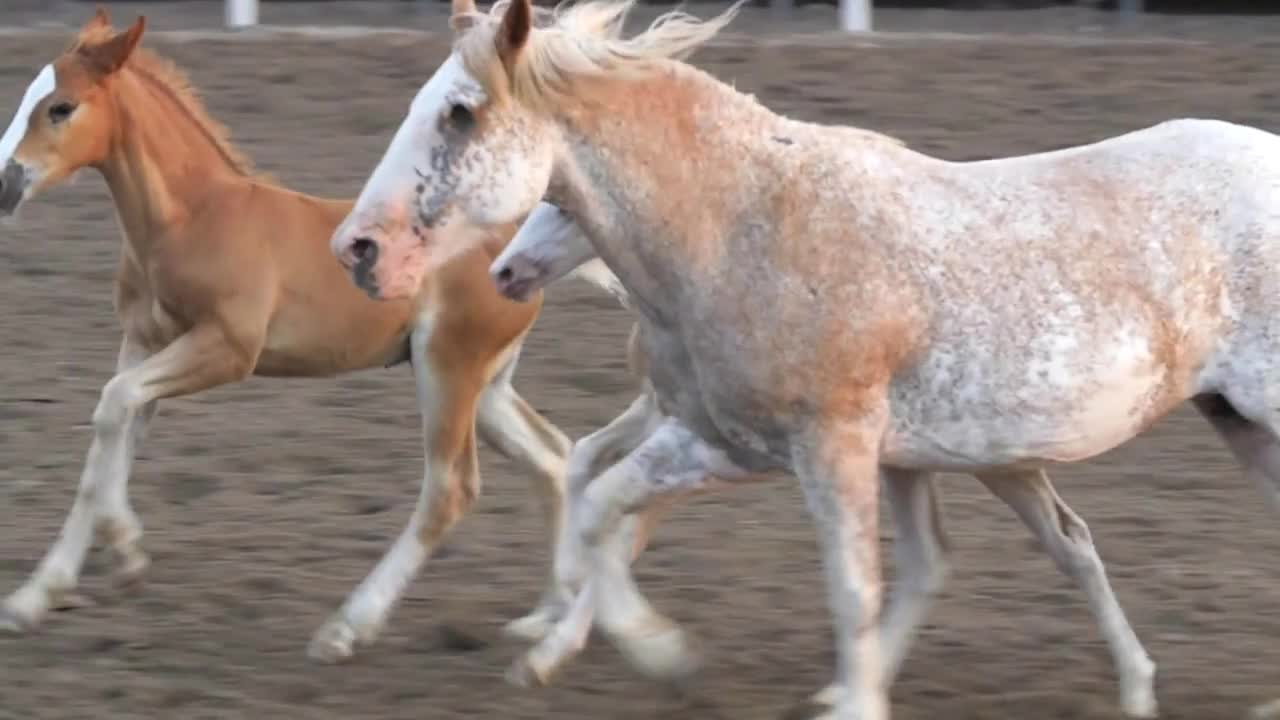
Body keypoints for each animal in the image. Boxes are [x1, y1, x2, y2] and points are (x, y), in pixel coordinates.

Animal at [0, 9, 588, 661]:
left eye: (61, 107)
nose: (5, 184)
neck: (191, 217)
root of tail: (507, 247)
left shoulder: (228, 349)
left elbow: (113, 405)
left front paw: (126, 550)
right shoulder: (144, 343)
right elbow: (107, 441)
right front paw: (35, 597)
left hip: (448, 370)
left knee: (450, 490)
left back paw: (347, 628)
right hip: (485, 387)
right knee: (554, 456)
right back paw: (547, 616)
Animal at [322, 0, 1280, 712]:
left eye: (460, 113)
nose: (358, 250)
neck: (748, 221)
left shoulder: (833, 447)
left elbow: (851, 589)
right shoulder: (729, 441)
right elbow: (598, 504)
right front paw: (647, 651)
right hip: (1214, 427)